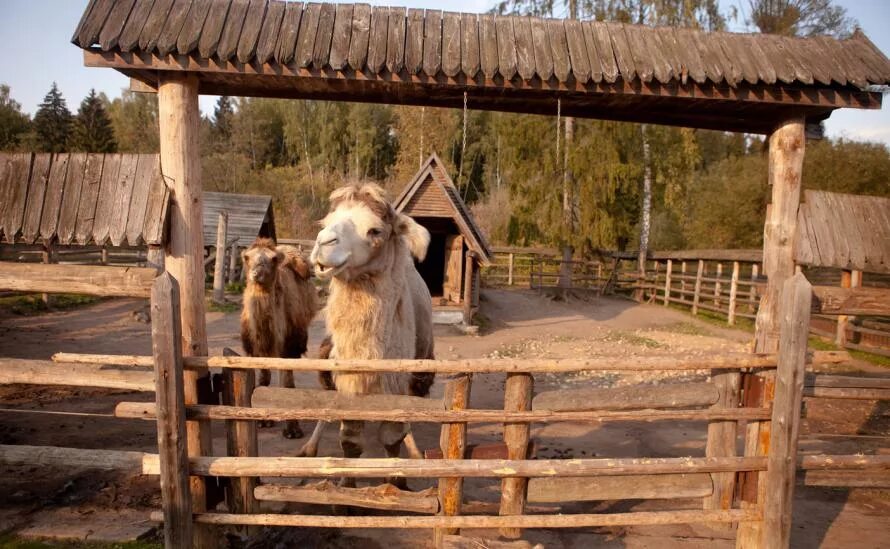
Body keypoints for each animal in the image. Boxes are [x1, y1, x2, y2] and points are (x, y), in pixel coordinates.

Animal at [239, 238, 320, 438]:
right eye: (247, 257)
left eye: (273, 259)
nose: (256, 274)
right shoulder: (257, 349)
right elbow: (263, 379)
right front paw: (263, 421)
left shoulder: (288, 347)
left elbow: (287, 384)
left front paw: (293, 430)